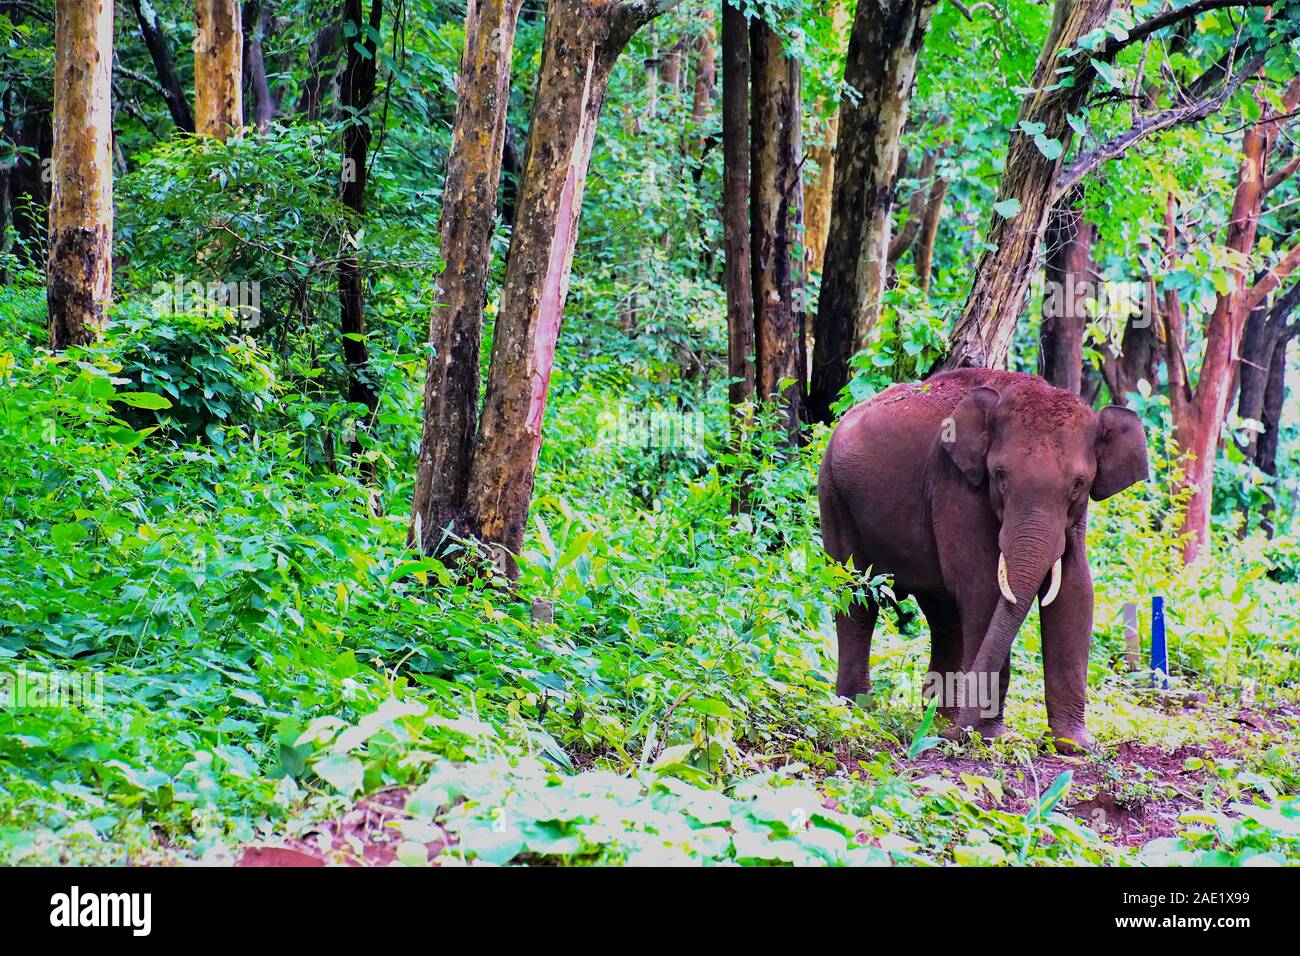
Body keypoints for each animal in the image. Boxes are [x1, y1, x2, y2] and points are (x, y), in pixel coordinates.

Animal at [821, 369, 1149, 749]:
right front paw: (989, 737)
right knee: (856, 598)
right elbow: (984, 591)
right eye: (1000, 475)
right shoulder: (958, 487)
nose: (954, 737)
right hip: (833, 495)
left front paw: (1072, 745)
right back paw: (858, 710)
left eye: (1078, 484)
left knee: (943, 614)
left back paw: (938, 718)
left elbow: (1075, 593)